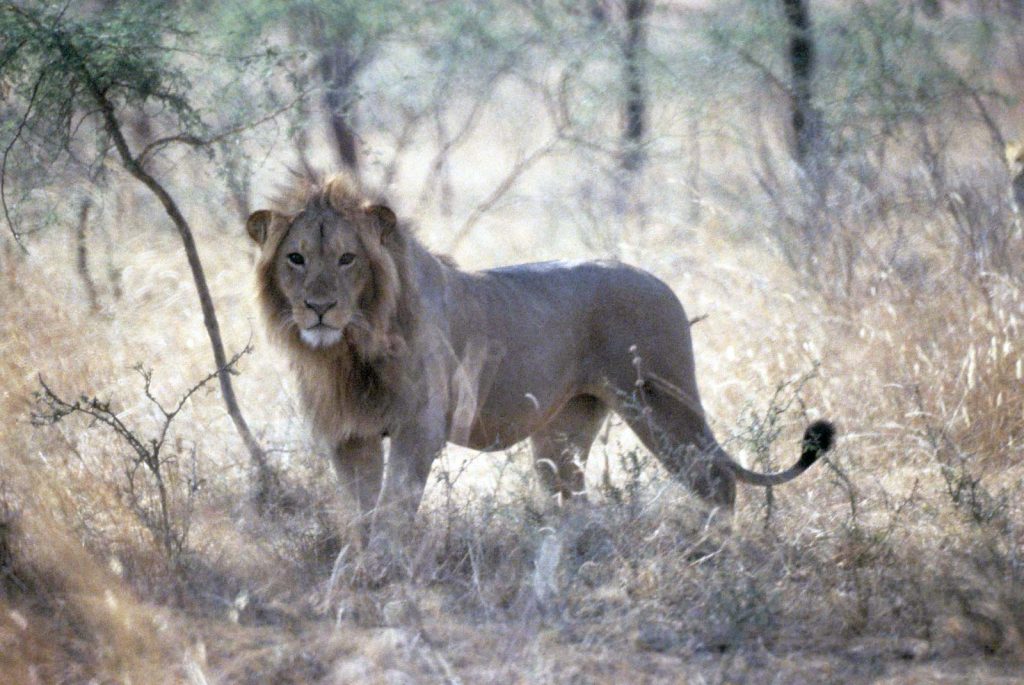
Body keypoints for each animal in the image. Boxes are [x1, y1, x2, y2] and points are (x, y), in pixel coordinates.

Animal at [246, 174, 834, 536]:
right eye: (296, 258)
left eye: (348, 259)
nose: (318, 308)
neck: (349, 348)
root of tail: (657, 279)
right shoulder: (350, 433)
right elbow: (363, 512)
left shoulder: (419, 427)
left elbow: (393, 511)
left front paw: (390, 568)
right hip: (564, 430)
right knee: (574, 497)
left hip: (660, 401)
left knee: (718, 480)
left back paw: (716, 554)